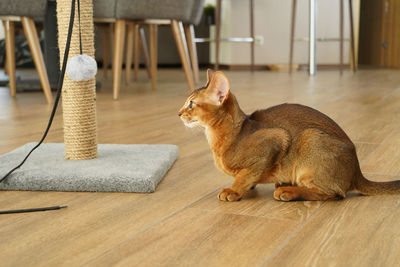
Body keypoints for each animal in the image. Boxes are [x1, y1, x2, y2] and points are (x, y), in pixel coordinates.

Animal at [180, 70, 398, 202]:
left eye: (191, 103)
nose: (179, 113)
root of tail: (356, 171)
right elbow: (248, 177)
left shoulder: (276, 138)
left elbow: (245, 175)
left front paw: (234, 190)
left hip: (311, 138)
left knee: (334, 194)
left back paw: (288, 191)